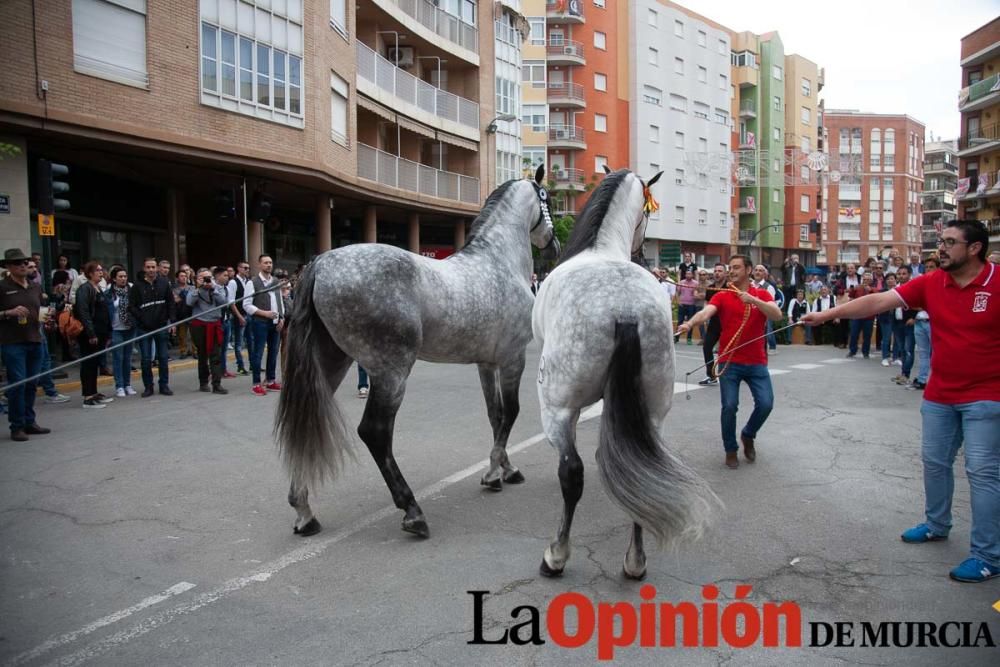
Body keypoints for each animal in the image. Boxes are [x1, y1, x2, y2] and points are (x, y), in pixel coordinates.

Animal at [276, 170, 556, 540]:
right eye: (546, 198)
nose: (553, 244)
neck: (498, 262)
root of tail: (321, 264)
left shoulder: (486, 363)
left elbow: (495, 416)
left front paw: (505, 470)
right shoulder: (513, 359)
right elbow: (510, 413)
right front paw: (493, 473)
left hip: (331, 365)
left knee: (306, 428)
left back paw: (304, 512)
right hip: (391, 372)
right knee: (375, 432)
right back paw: (412, 511)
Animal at [532, 167, 720, 580]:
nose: (642, 251)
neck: (599, 248)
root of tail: (625, 310)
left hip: (557, 409)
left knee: (572, 473)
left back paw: (556, 556)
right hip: (652, 411)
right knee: (642, 475)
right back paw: (635, 562)